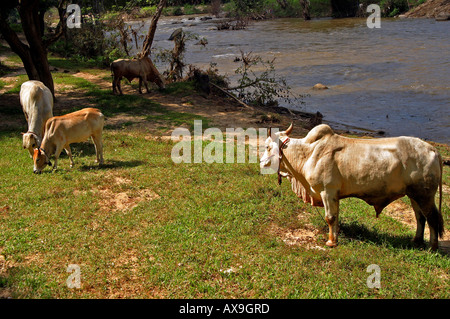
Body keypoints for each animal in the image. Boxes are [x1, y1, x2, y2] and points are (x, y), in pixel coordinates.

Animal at [260, 124, 442, 251]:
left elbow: (330, 217)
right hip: (414, 195)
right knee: (420, 217)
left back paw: (432, 248)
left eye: (268, 147)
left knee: (432, 218)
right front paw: (335, 237)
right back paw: (416, 241)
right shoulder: (334, 195)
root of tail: (433, 149)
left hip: (425, 195)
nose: (261, 162)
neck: (308, 153)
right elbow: (336, 216)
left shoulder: (327, 191)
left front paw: (331, 242)